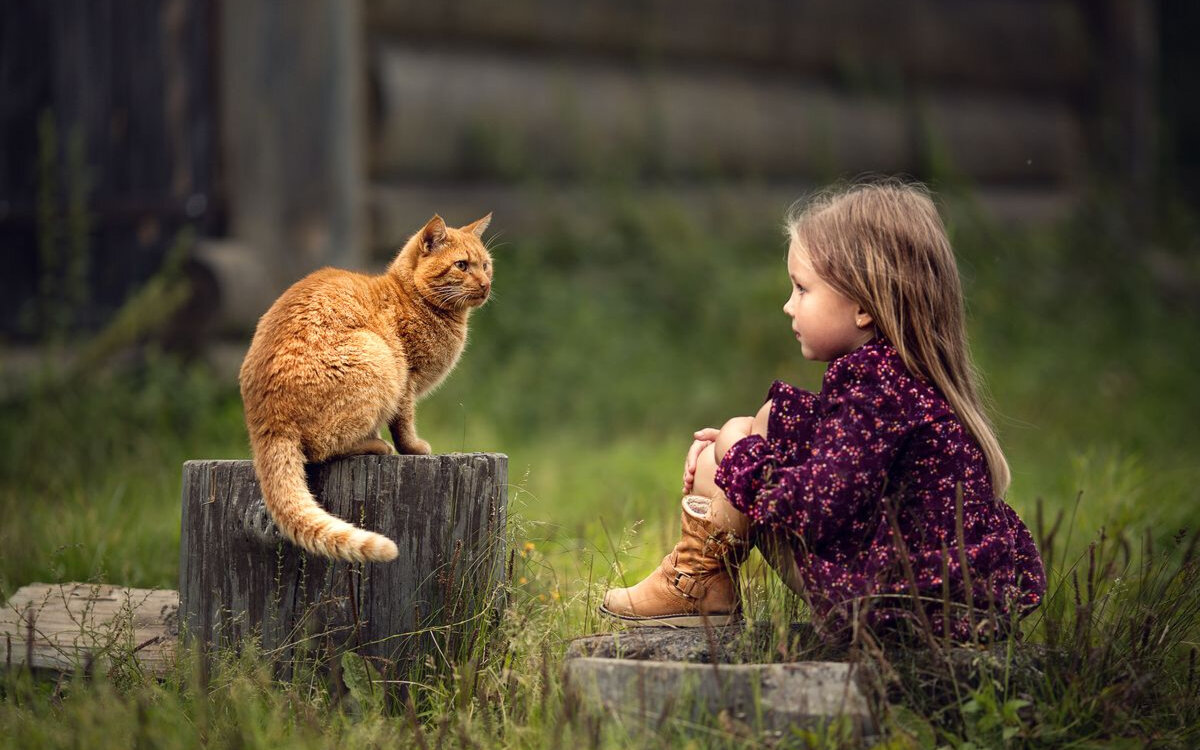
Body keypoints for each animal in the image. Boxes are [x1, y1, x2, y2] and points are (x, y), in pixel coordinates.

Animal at [238, 213, 492, 559]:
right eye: (462, 265)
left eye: (486, 266)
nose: (485, 284)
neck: (412, 298)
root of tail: (266, 421)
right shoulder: (406, 380)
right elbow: (404, 426)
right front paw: (413, 448)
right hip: (377, 356)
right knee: (323, 448)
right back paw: (376, 445)